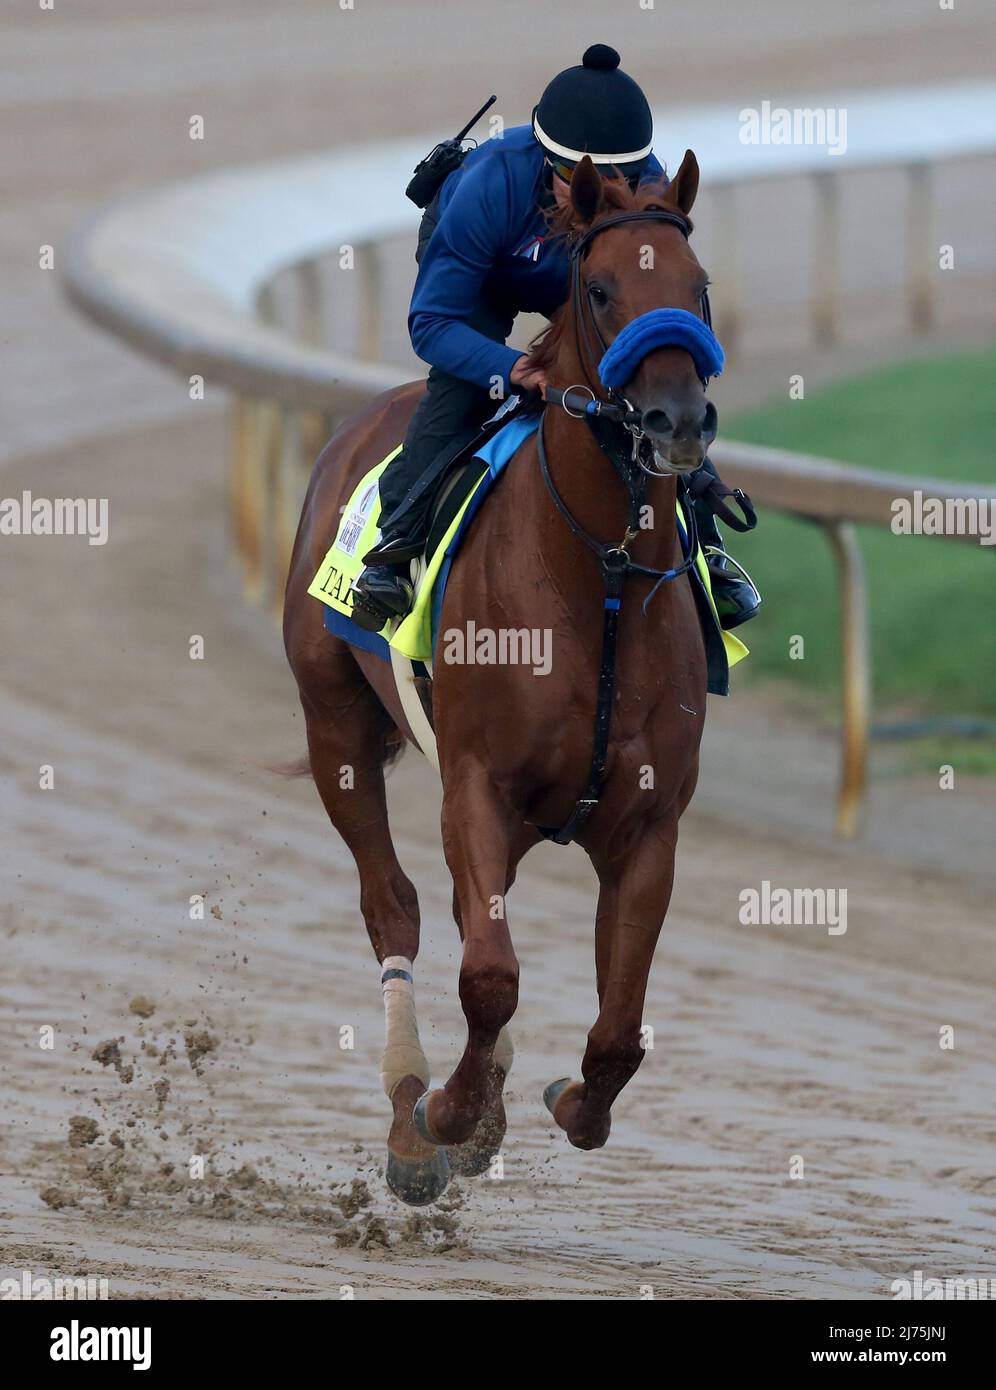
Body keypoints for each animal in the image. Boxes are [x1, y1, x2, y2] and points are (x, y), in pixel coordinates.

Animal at [286, 146, 716, 1200]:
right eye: (600, 290)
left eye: (700, 289)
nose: (677, 421)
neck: (598, 578)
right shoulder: (475, 784)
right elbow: (488, 976)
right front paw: (446, 1116)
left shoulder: (649, 821)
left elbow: (618, 1030)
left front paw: (558, 1100)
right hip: (333, 723)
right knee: (394, 905)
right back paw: (413, 1110)